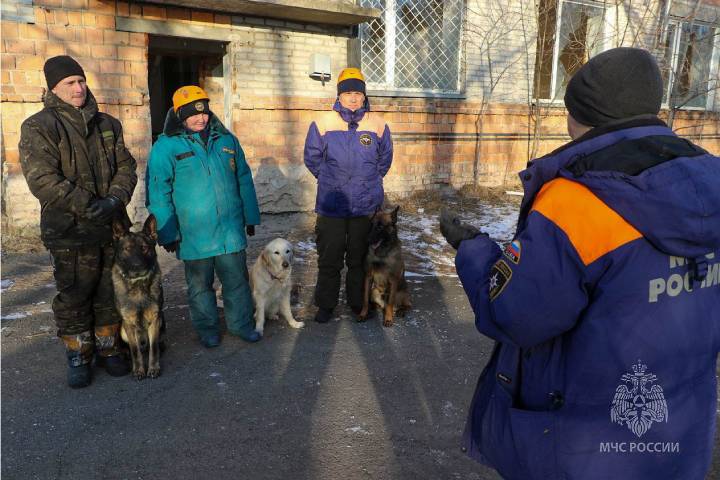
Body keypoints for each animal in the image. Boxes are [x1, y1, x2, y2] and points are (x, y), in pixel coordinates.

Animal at [111, 215, 163, 378]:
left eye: (144, 248)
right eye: (127, 249)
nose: (138, 267)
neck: (138, 285)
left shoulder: (155, 319)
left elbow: (154, 348)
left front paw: (153, 368)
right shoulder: (128, 323)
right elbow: (135, 350)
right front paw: (139, 369)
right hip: (122, 329)